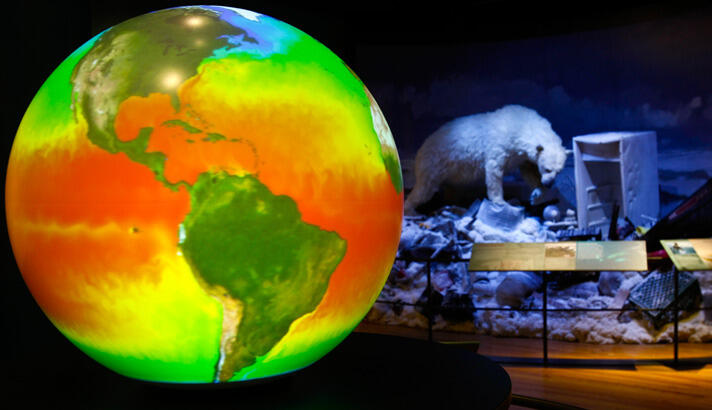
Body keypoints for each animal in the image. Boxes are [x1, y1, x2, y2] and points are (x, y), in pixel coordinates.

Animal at [406, 105, 568, 215]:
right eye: (547, 169)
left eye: (559, 171)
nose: (549, 184)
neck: (522, 125)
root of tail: (420, 149)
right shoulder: (501, 144)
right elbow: (494, 170)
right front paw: (502, 203)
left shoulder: (522, 156)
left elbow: (529, 171)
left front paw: (537, 194)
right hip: (434, 163)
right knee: (424, 189)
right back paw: (411, 210)